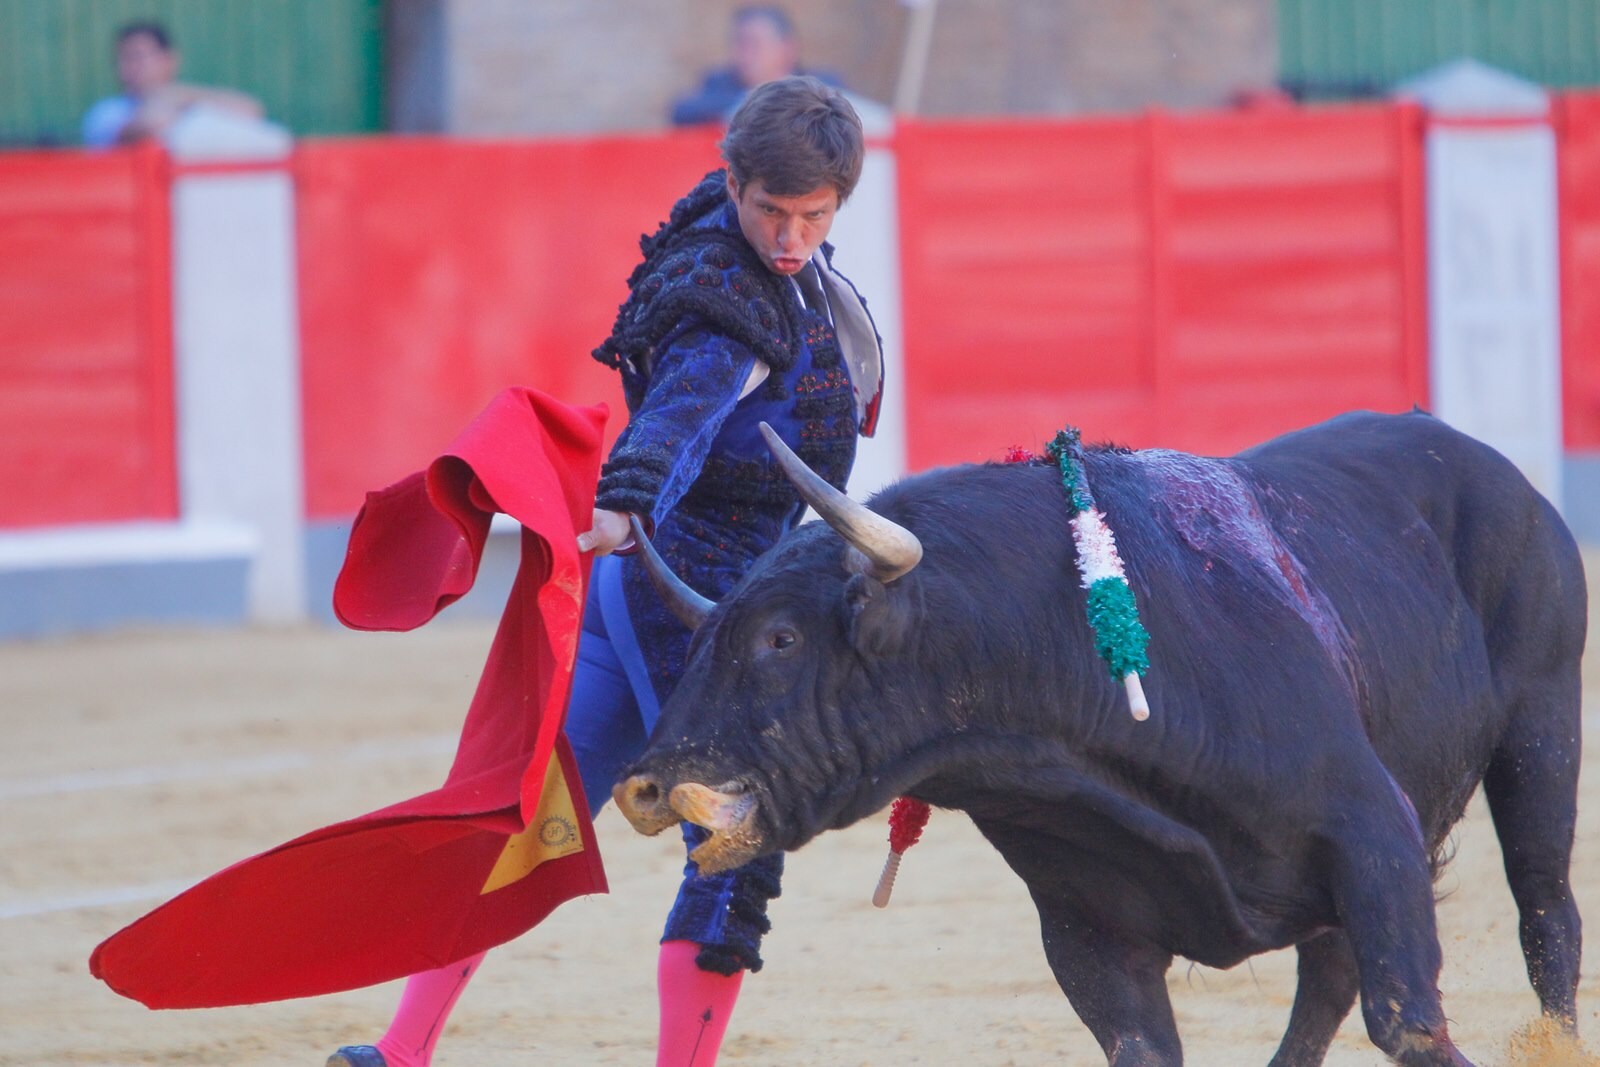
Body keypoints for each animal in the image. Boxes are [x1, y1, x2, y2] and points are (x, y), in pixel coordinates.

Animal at [604, 412, 1580, 1067]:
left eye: (780, 638)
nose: (643, 787)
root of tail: (1488, 465)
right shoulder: (1085, 925)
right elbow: (1149, 1046)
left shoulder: (1371, 826)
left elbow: (1409, 1021)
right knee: (1328, 978)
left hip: (1544, 719)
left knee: (1544, 906)